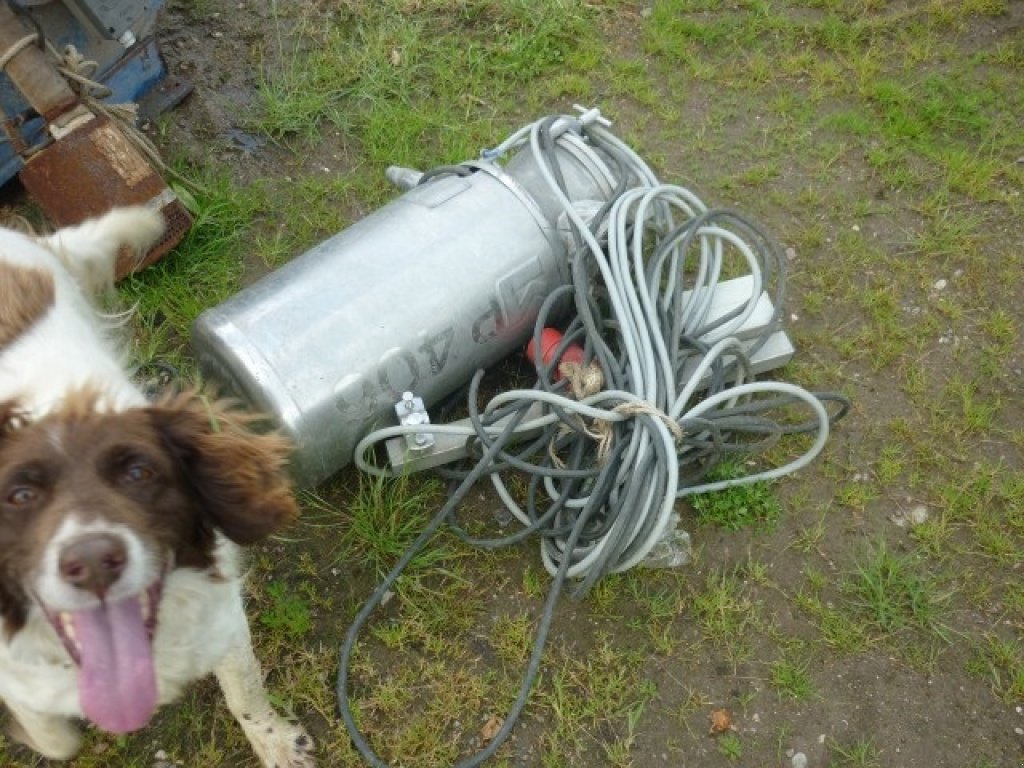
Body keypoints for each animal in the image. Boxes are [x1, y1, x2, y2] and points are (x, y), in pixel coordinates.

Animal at [0, 207, 313, 765]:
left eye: (139, 473)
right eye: (20, 496)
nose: (94, 562)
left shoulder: (223, 619)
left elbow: (245, 695)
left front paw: (275, 743)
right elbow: (55, 738)